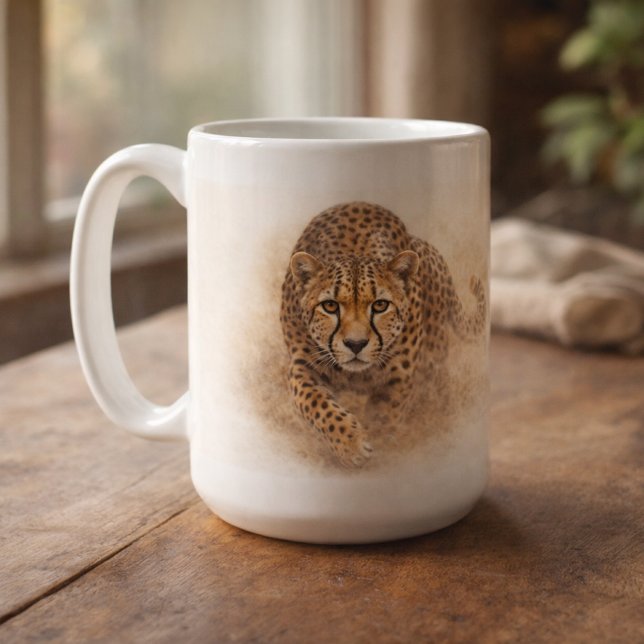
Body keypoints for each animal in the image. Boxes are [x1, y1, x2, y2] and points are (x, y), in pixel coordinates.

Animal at [280, 201, 486, 468]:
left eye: (380, 305)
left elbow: (384, 419)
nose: (355, 344)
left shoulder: (399, 377)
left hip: (434, 360)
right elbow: (314, 402)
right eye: (330, 306)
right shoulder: (303, 365)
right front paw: (351, 444)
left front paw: (377, 451)